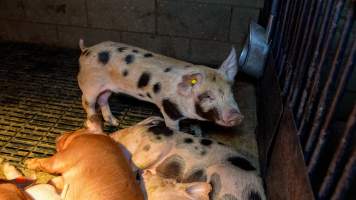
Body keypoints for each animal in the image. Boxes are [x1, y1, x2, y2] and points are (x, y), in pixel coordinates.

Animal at [78, 40, 243, 132]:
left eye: (231, 92)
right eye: (208, 96)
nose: (236, 116)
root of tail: (86, 50)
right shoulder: (168, 108)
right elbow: (172, 127)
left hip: (107, 88)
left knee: (103, 99)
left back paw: (115, 122)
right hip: (89, 86)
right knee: (87, 103)